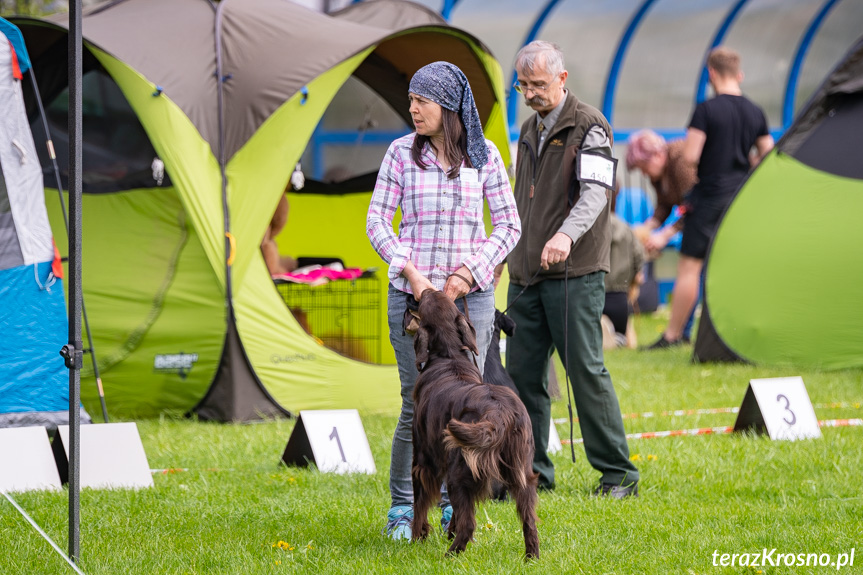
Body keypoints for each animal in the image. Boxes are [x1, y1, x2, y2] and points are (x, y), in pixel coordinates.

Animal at [412, 292, 540, 560]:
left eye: (428, 299)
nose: (424, 291)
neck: (449, 356)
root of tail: (499, 413)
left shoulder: (423, 459)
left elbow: (420, 503)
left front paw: (417, 536)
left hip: (460, 470)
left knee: (470, 523)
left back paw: (450, 555)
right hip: (521, 471)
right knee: (529, 520)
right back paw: (531, 557)